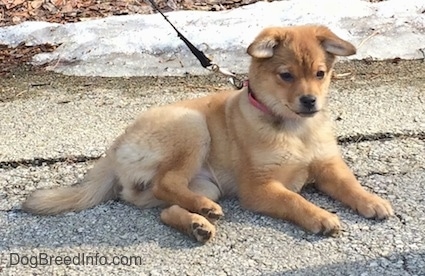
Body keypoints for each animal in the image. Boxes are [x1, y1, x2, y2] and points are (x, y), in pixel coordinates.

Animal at [23, 25, 392, 242]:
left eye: (320, 73)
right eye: (286, 75)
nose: (310, 101)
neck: (293, 128)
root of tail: (114, 150)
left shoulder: (328, 165)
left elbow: (349, 184)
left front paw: (371, 201)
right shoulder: (258, 187)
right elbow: (294, 199)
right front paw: (320, 216)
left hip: (202, 183)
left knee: (165, 206)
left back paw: (197, 223)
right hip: (191, 127)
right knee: (167, 181)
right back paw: (200, 213)